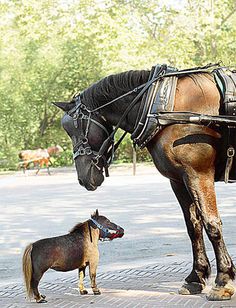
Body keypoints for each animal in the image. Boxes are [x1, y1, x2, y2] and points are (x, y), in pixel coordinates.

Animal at [54, 65, 236, 300]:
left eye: (76, 130)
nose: (83, 177)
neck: (163, 106)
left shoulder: (198, 174)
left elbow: (211, 225)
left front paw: (223, 280)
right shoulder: (179, 179)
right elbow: (193, 227)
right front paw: (196, 277)